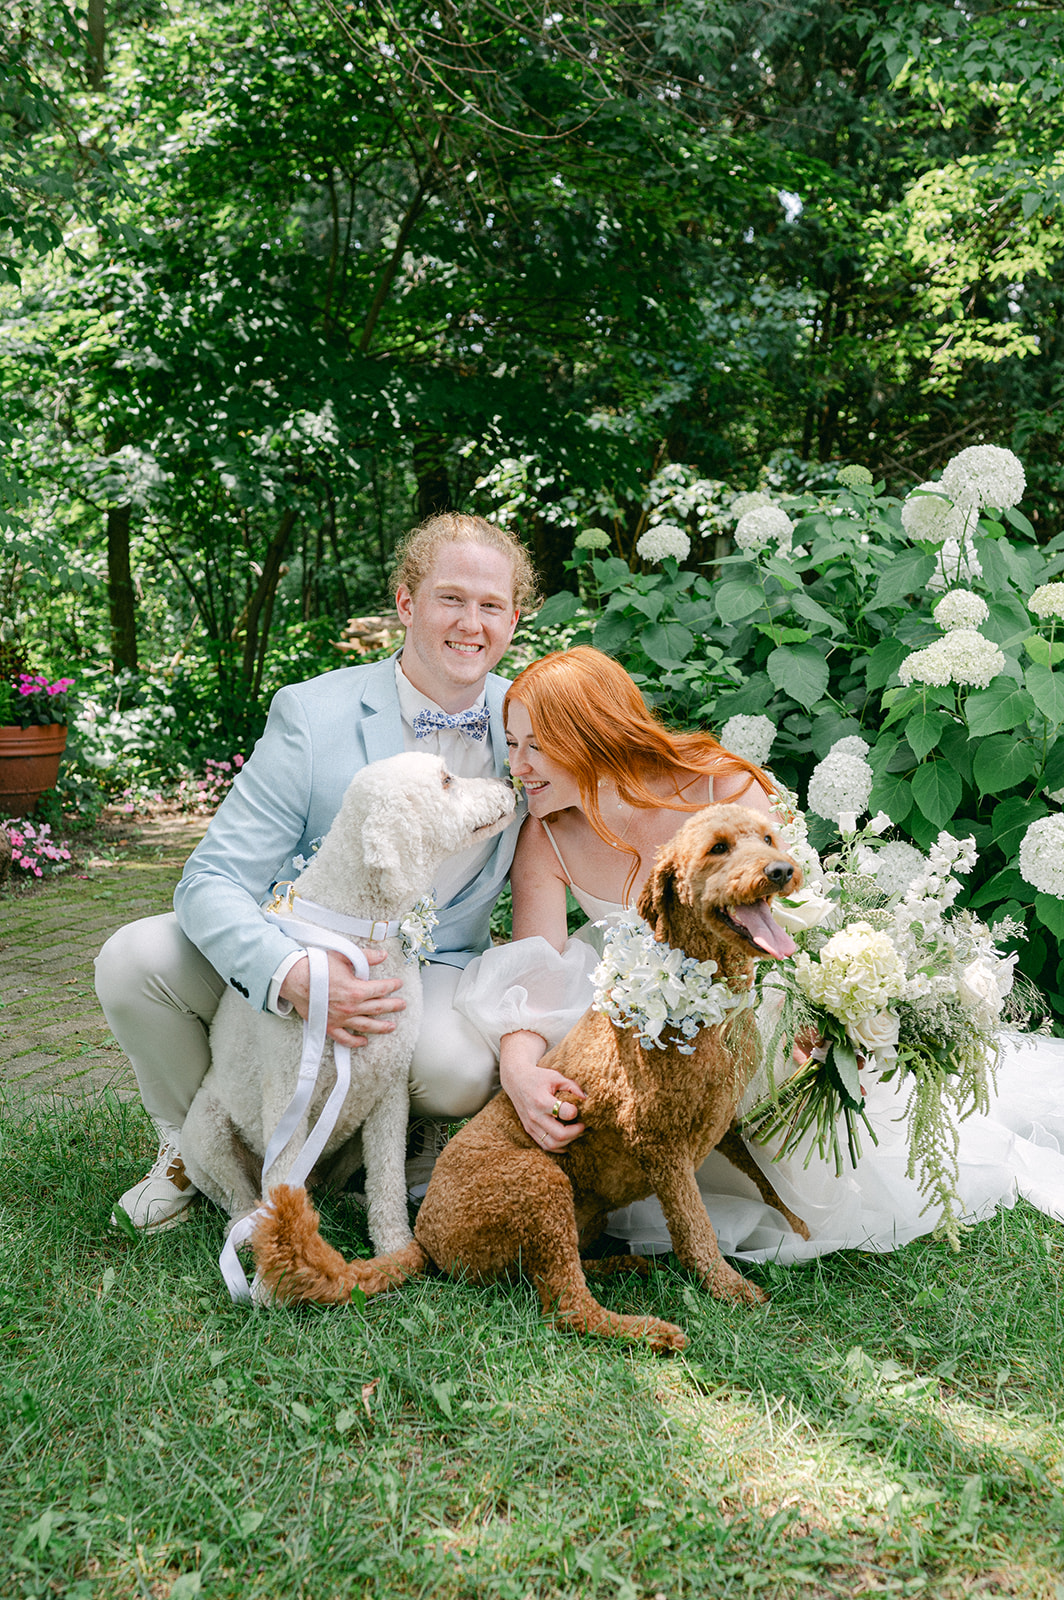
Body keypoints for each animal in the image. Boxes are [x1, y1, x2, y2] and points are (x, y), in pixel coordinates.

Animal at [177, 755, 515, 1280]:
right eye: (446, 780)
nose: (509, 782)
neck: (359, 922)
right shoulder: (288, 1096)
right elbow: (281, 1178)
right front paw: (284, 1268)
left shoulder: (389, 1092)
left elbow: (388, 1179)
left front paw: (394, 1248)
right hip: (206, 1134)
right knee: (239, 1196)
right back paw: (248, 1230)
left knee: (328, 1187)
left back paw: (347, 1203)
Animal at [252, 806, 809, 1344]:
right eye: (718, 848)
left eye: (768, 839)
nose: (780, 871)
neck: (699, 1005)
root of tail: (426, 1238)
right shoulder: (661, 1144)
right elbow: (696, 1229)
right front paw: (728, 1284)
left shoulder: (724, 1119)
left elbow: (763, 1179)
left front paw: (799, 1225)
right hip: (537, 1181)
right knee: (568, 1306)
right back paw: (647, 1328)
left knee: (555, 1276)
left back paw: (623, 1264)